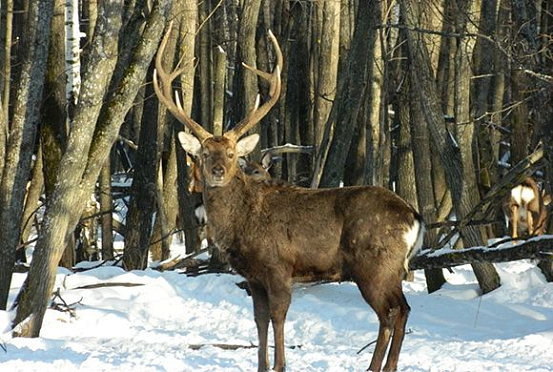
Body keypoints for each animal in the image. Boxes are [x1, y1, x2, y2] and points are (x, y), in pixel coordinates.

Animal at [153, 24, 424, 372]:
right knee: (400, 311)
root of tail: (414, 217)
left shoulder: (278, 265)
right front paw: (261, 365)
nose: (217, 171)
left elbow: (279, 317)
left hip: (376, 264)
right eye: (203, 153)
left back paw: (377, 367)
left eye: (231, 153)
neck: (241, 224)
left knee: (392, 313)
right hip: (386, 268)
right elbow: (259, 320)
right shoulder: (253, 277)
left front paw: (280, 365)